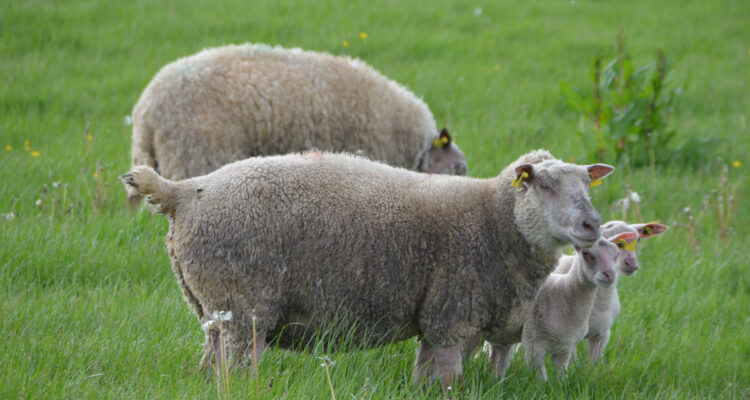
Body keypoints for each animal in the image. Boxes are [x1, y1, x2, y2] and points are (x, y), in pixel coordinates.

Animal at [119, 149, 614, 389]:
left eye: (588, 185)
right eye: (544, 185)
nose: (592, 224)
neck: (494, 221)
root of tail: (184, 192)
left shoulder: (444, 322)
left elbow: (425, 377)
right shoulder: (452, 316)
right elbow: (450, 382)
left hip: (212, 309)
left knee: (209, 368)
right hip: (244, 307)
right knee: (235, 372)